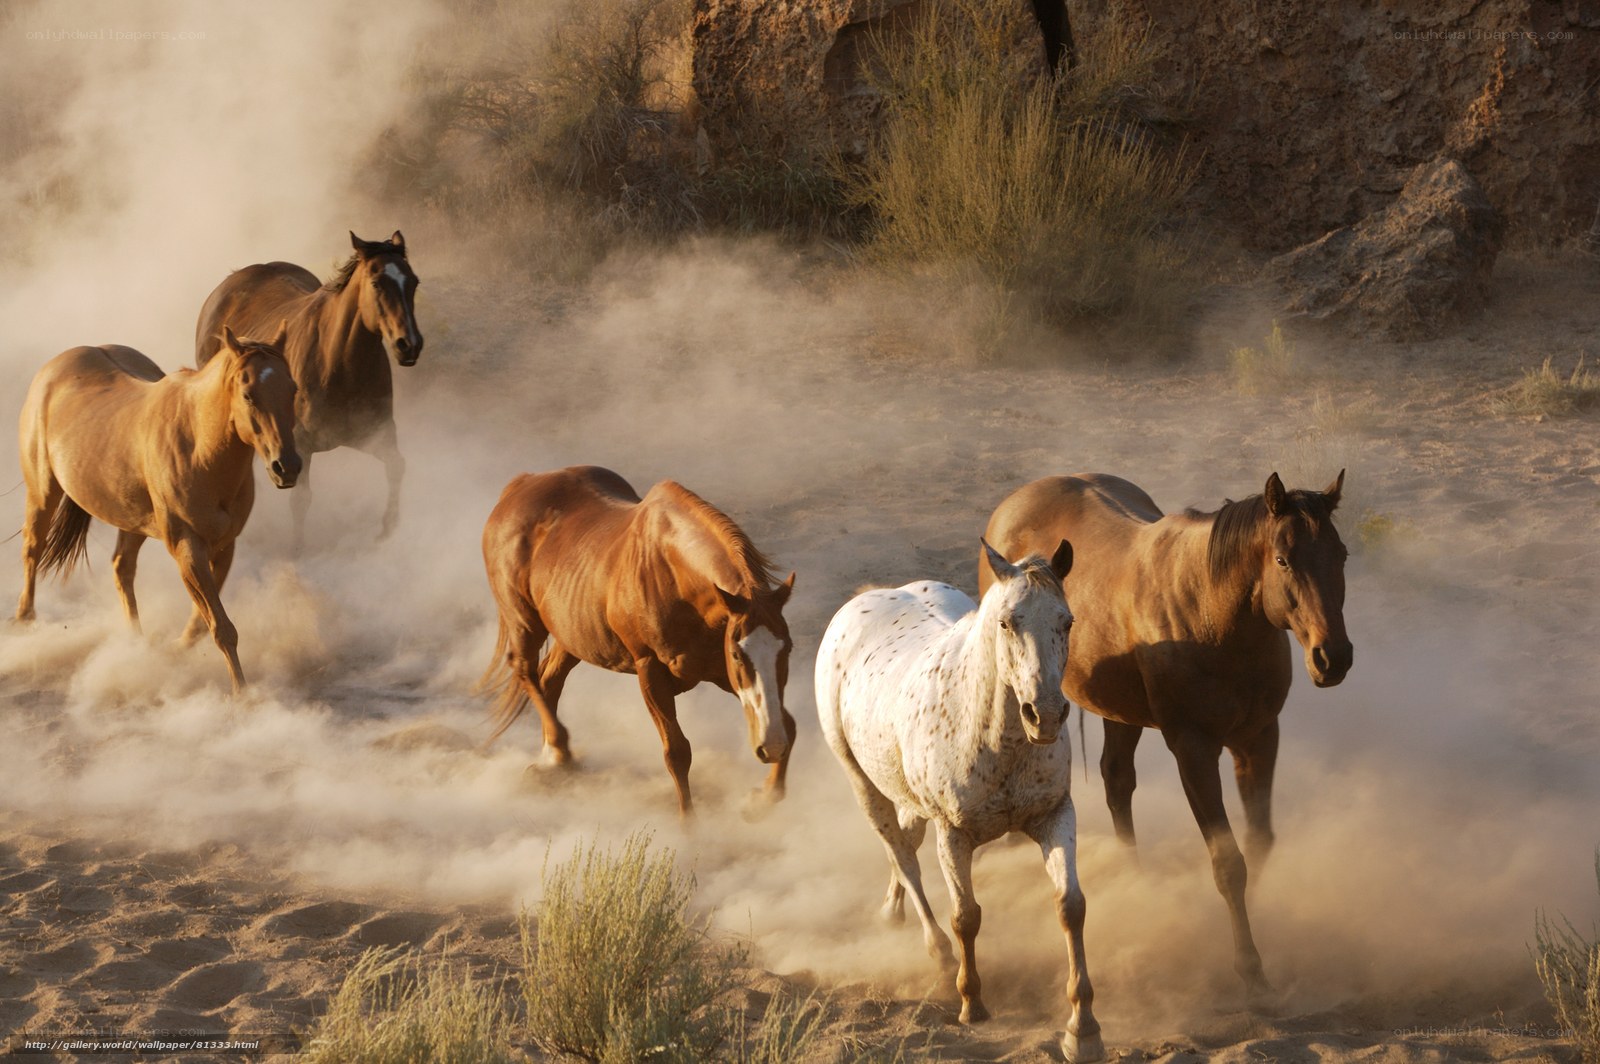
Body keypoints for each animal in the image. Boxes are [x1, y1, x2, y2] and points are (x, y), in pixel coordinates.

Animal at [14, 327, 301, 693]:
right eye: (249, 394)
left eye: (292, 389)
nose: (287, 467)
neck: (199, 448)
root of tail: (55, 366)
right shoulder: (186, 547)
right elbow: (222, 628)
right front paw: (242, 695)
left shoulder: (224, 546)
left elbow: (203, 624)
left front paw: (175, 651)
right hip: (42, 492)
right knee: (33, 548)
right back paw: (24, 622)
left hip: (131, 520)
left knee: (121, 568)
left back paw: (136, 644)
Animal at [194, 230, 423, 549]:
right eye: (377, 283)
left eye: (413, 281)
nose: (409, 345)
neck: (339, 364)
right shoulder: (298, 445)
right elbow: (300, 500)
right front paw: (297, 549)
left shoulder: (377, 433)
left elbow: (396, 466)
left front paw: (388, 530)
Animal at [478, 466, 797, 817]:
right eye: (738, 654)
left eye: (787, 649)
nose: (771, 745)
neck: (674, 576)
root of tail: (520, 485)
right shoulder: (651, 671)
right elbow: (677, 752)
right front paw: (689, 825)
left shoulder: (719, 672)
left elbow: (789, 723)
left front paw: (761, 799)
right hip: (524, 621)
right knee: (525, 670)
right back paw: (559, 751)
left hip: (570, 635)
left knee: (549, 680)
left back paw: (553, 760)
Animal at [815, 540, 1104, 1064]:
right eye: (1007, 622)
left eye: (1067, 621)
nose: (1046, 715)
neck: (995, 737)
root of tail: (867, 598)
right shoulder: (954, 835)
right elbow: (966, 916)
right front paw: (972, 1003)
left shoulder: (1055, 817)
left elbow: (1070, 907)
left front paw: (1083, 1029)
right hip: (862, 783)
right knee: (903, 857)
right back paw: (937, 952)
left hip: (906, 796)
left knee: (905, 844)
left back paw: (891, 912)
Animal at [982, 471, 1352, 996]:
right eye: (1283, 559)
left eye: (1340, 555)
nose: (1333, 658)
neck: (1215, 617)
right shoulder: (1193, 751)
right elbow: (1228, 862)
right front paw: (1249, 966)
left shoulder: (1258, 739)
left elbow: (1259, 842)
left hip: (1119, 712)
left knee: (1117, 781)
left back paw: (1136, 880)